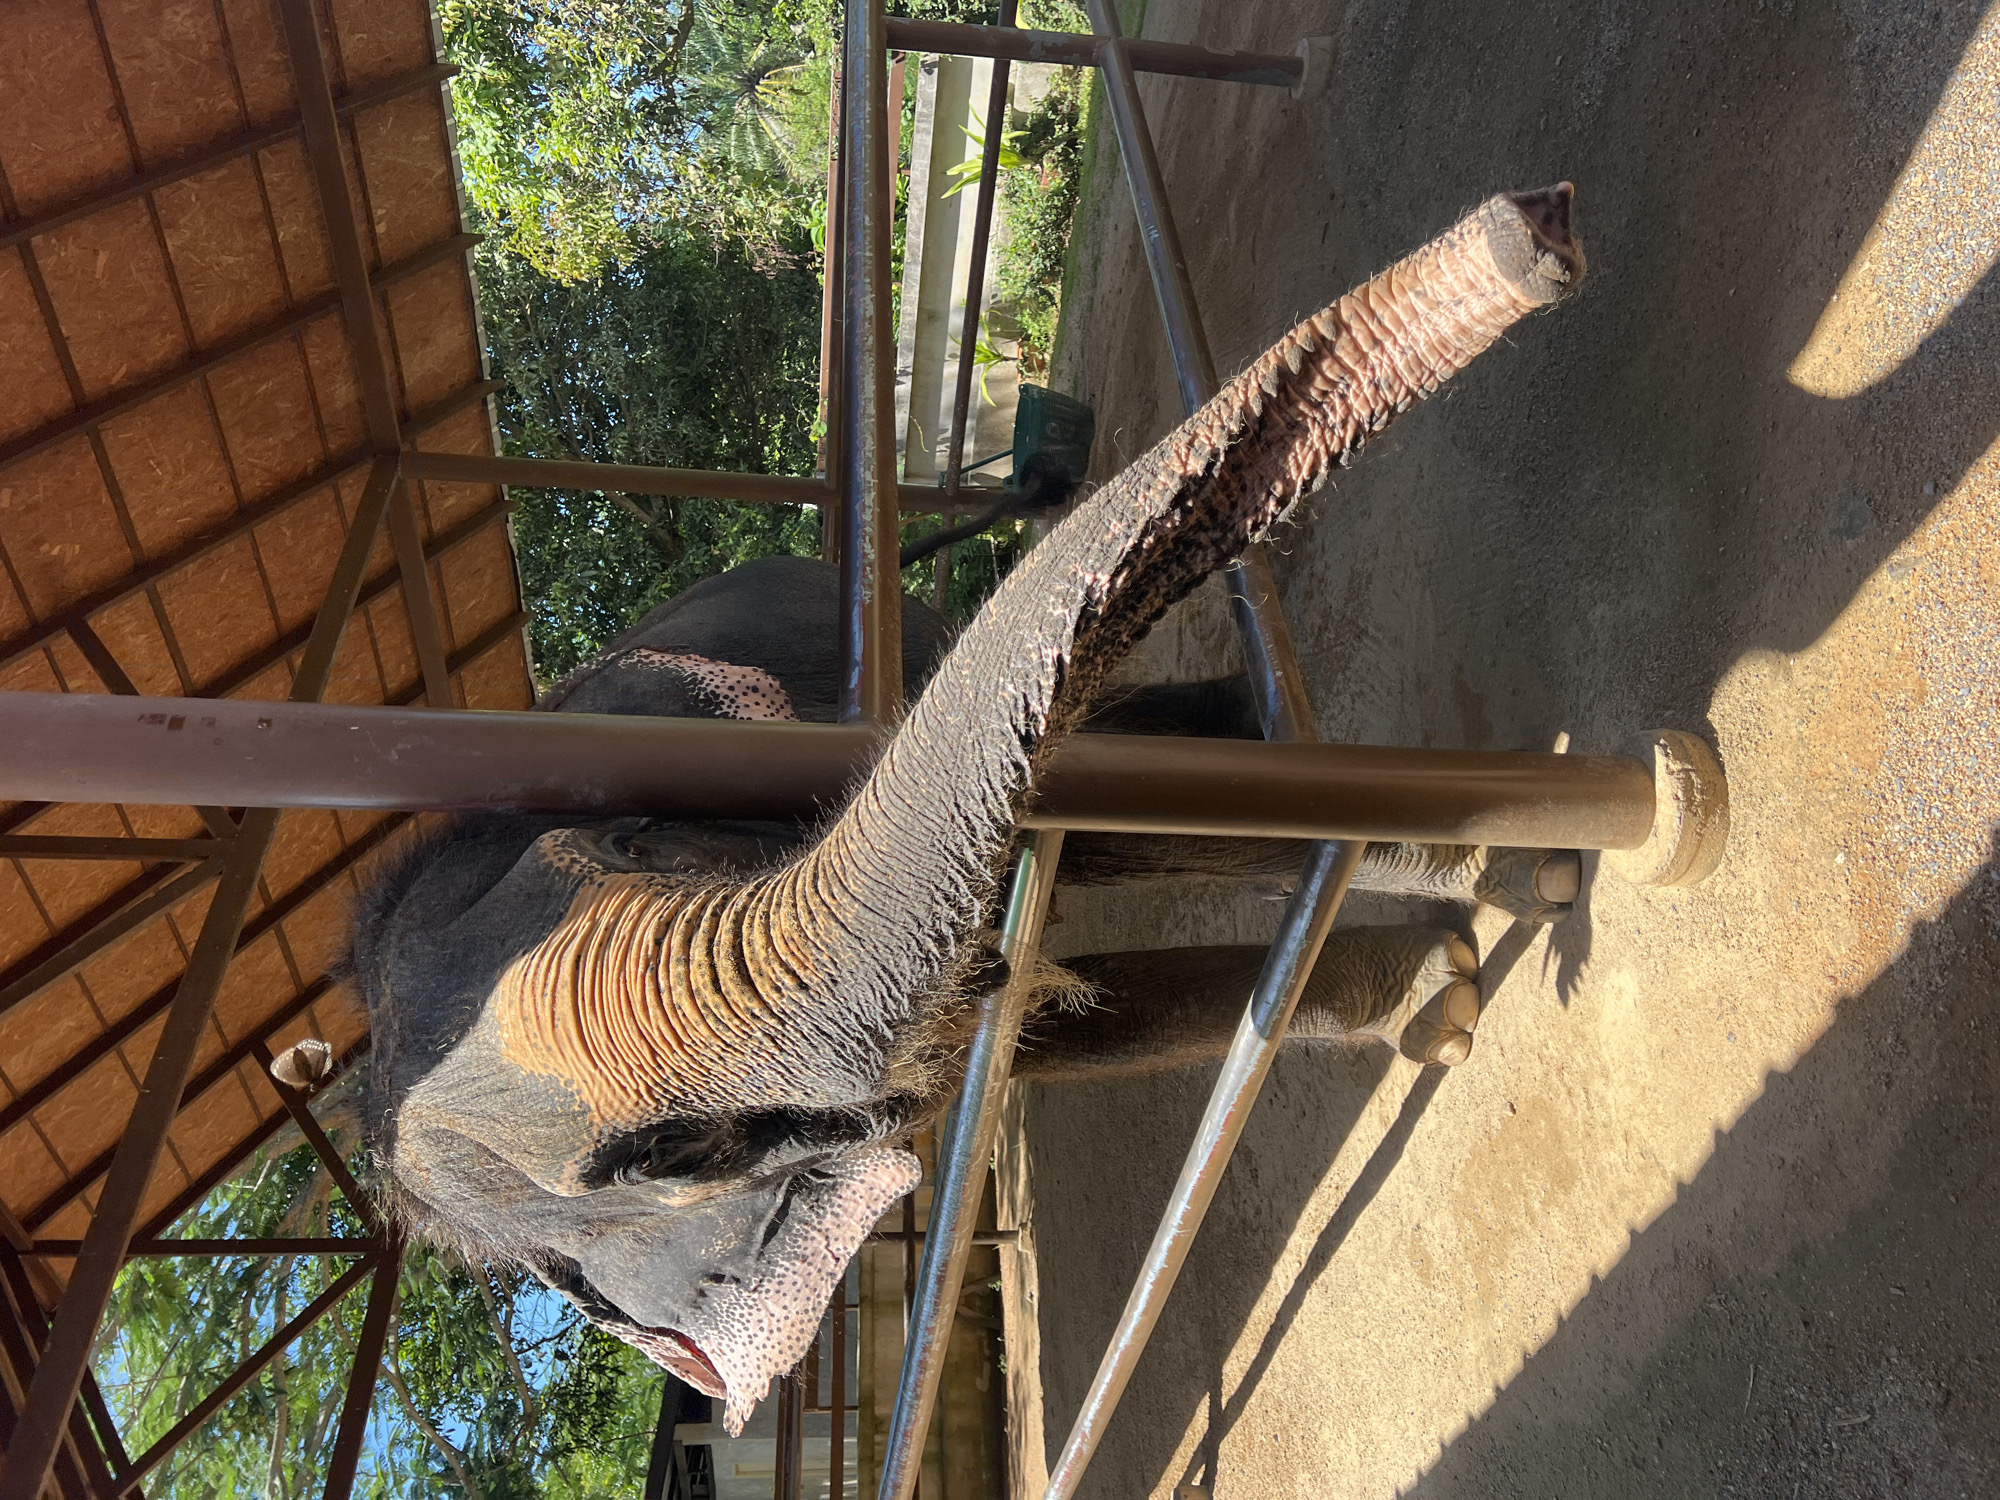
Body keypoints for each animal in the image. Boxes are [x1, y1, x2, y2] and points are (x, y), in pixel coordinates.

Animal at [348, 185, 1586, 1430]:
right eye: (670, 1162)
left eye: (631, 838)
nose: (1535, 232)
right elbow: (1053, 1026)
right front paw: (1446, 998)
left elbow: (1110, 834)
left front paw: (1528, 878)